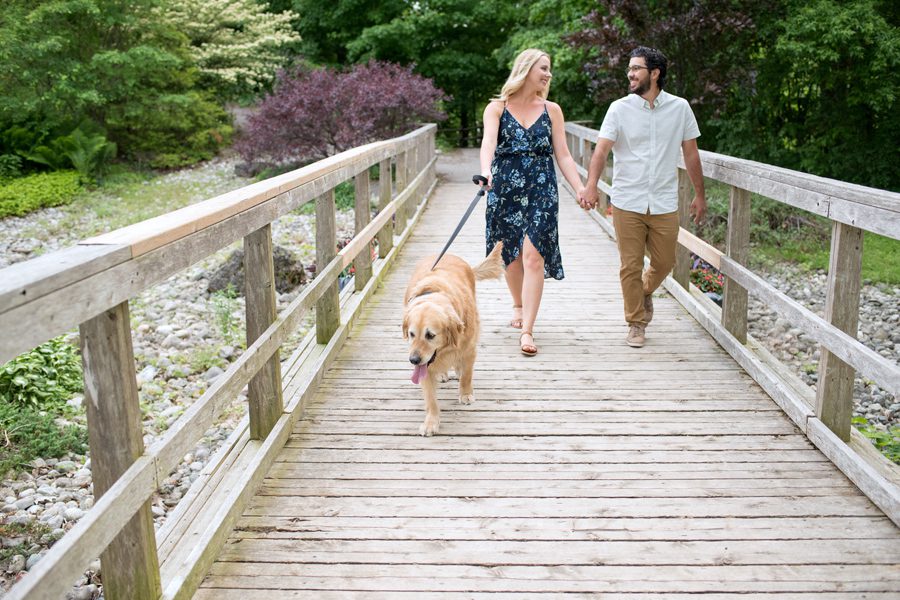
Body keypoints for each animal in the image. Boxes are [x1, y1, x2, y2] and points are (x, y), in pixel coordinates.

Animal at [402, 243, 502, 436]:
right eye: (411, 334)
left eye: (430, 335)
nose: (413, 360)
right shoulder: (425, 367)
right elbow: (430, 398)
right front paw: (431, 422)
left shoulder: (470, 349)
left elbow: (467, 375)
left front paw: (465, 394)